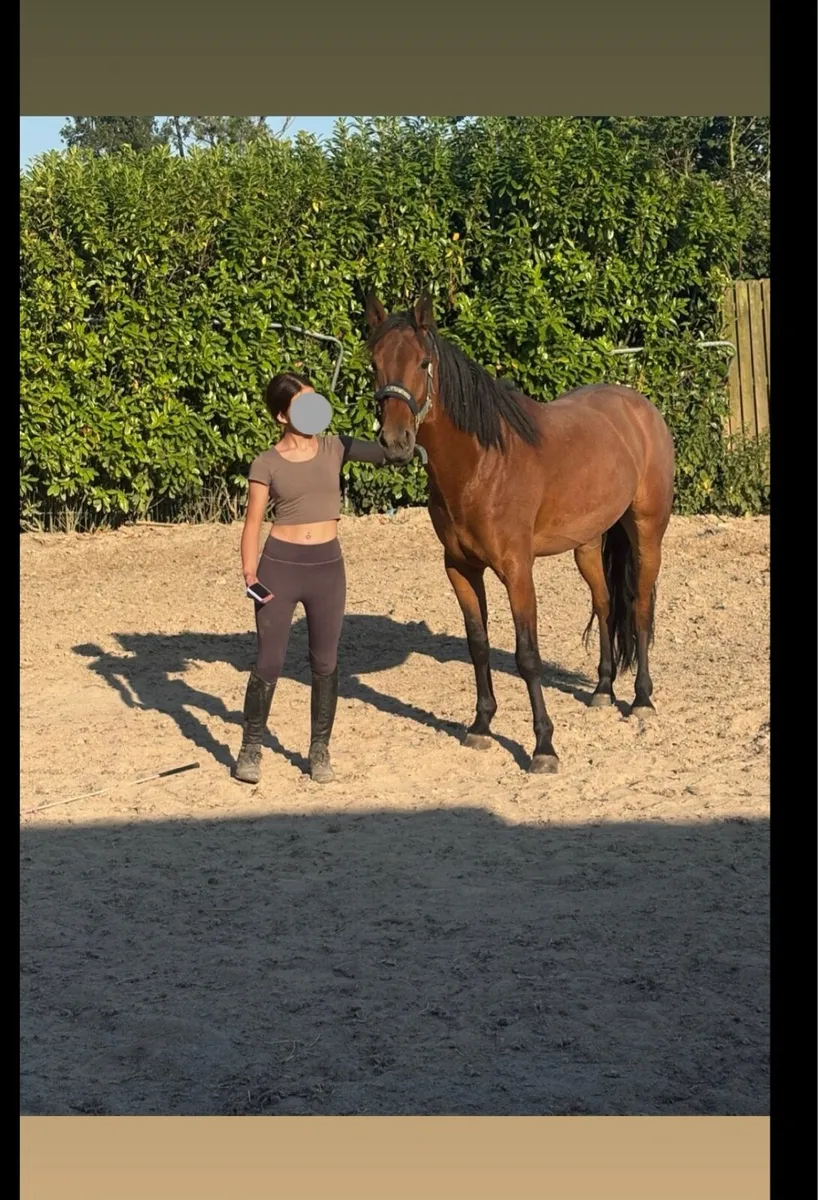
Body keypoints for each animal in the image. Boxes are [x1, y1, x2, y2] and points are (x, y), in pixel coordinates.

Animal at [365, 291, 675, 774]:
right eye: (375, 362)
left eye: (422, 362)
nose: (396, 443)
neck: (483, 464)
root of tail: (641, 408)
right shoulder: (460, 569)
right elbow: (478, 645)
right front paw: (480, 726)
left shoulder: (517, 570)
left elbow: (527, 656)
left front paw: (544, 746)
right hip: (587, 545)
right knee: (606, 605)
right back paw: (603, 691)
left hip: (647, 532)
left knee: (640, 607)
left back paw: (641, 699)